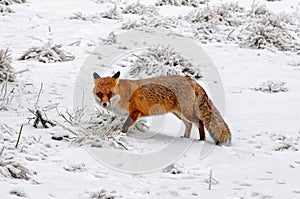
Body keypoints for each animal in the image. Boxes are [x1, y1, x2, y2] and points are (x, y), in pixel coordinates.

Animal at [92, 70, 231, 145]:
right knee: (189, 125)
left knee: (200, 122)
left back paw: (201, 140)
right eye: (100, 94)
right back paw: (185, 138)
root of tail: (190, 80)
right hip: (179, 114)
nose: (104, 104)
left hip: (186, 113)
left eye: (110, 94)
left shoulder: (135, 112)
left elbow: (124, 127)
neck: (123, 95)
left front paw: (121, 135)